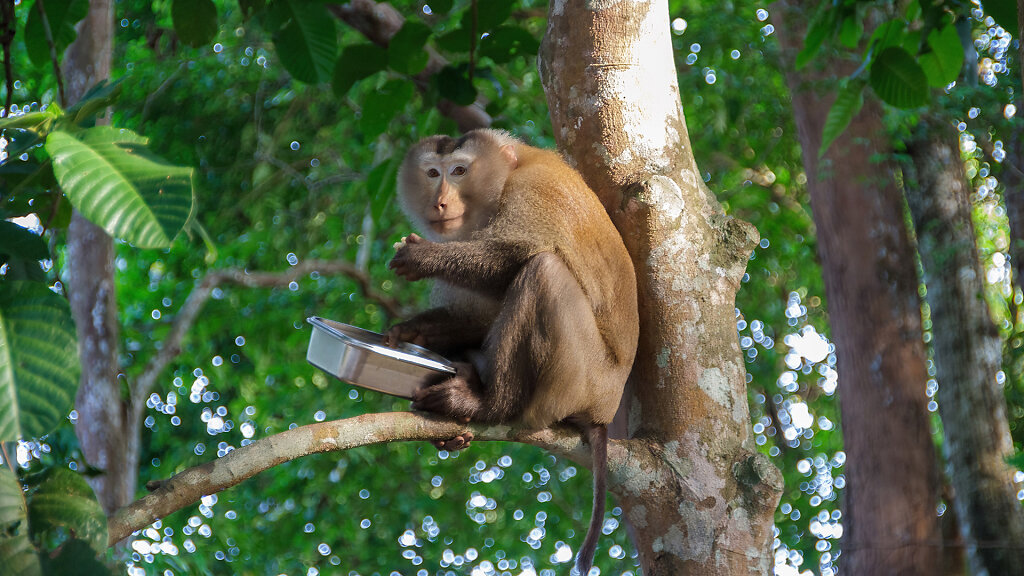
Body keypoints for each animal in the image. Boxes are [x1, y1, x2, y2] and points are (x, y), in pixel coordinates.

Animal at [385, 127, 634, 569]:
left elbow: (517, 253)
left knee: (544, 270)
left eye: (459, 171)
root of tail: (605, 409)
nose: (439, 201)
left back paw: (490, 404)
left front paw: (424, 257)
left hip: (582, 378)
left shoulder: (533, 191)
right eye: (432, 173)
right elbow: (478, 315)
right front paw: (414, 331)